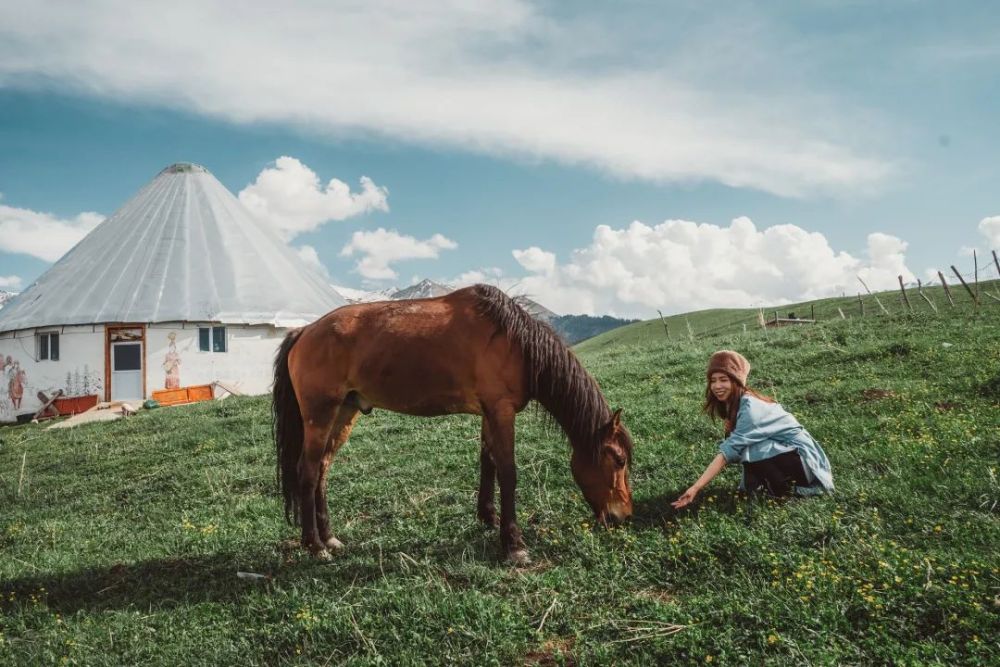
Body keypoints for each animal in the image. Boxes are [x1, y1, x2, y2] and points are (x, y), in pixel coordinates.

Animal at [274, 284, 632, 564]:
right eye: (619, 460)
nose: (623, 516)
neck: (513, 342)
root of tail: (303, 332)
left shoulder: (490, 412)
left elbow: (488, 463)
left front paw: (489, 517)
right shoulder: (501, 411)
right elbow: (508, 472)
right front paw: (514, 544)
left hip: (343, 414)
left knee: (322, 471)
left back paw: (330, 538)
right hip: (320, 415)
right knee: (308, 472)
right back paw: (315, 545)